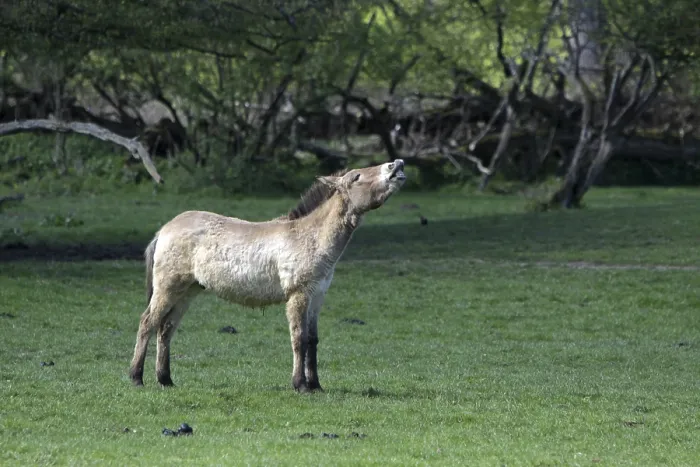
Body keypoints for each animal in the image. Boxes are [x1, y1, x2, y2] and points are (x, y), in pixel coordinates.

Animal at [129, 159, 406, 392]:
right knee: (147, 323)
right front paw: (300, 385)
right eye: (356, 177)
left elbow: (313, 340)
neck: (309, 236)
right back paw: (136, 377)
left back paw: (166, 380)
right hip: (168, 288)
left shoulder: (317, 296)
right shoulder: (298, 295)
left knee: (165, 329)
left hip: (188, 291)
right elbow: (299, 338)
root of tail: (164, 230)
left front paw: (316, 385)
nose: (397, 165)